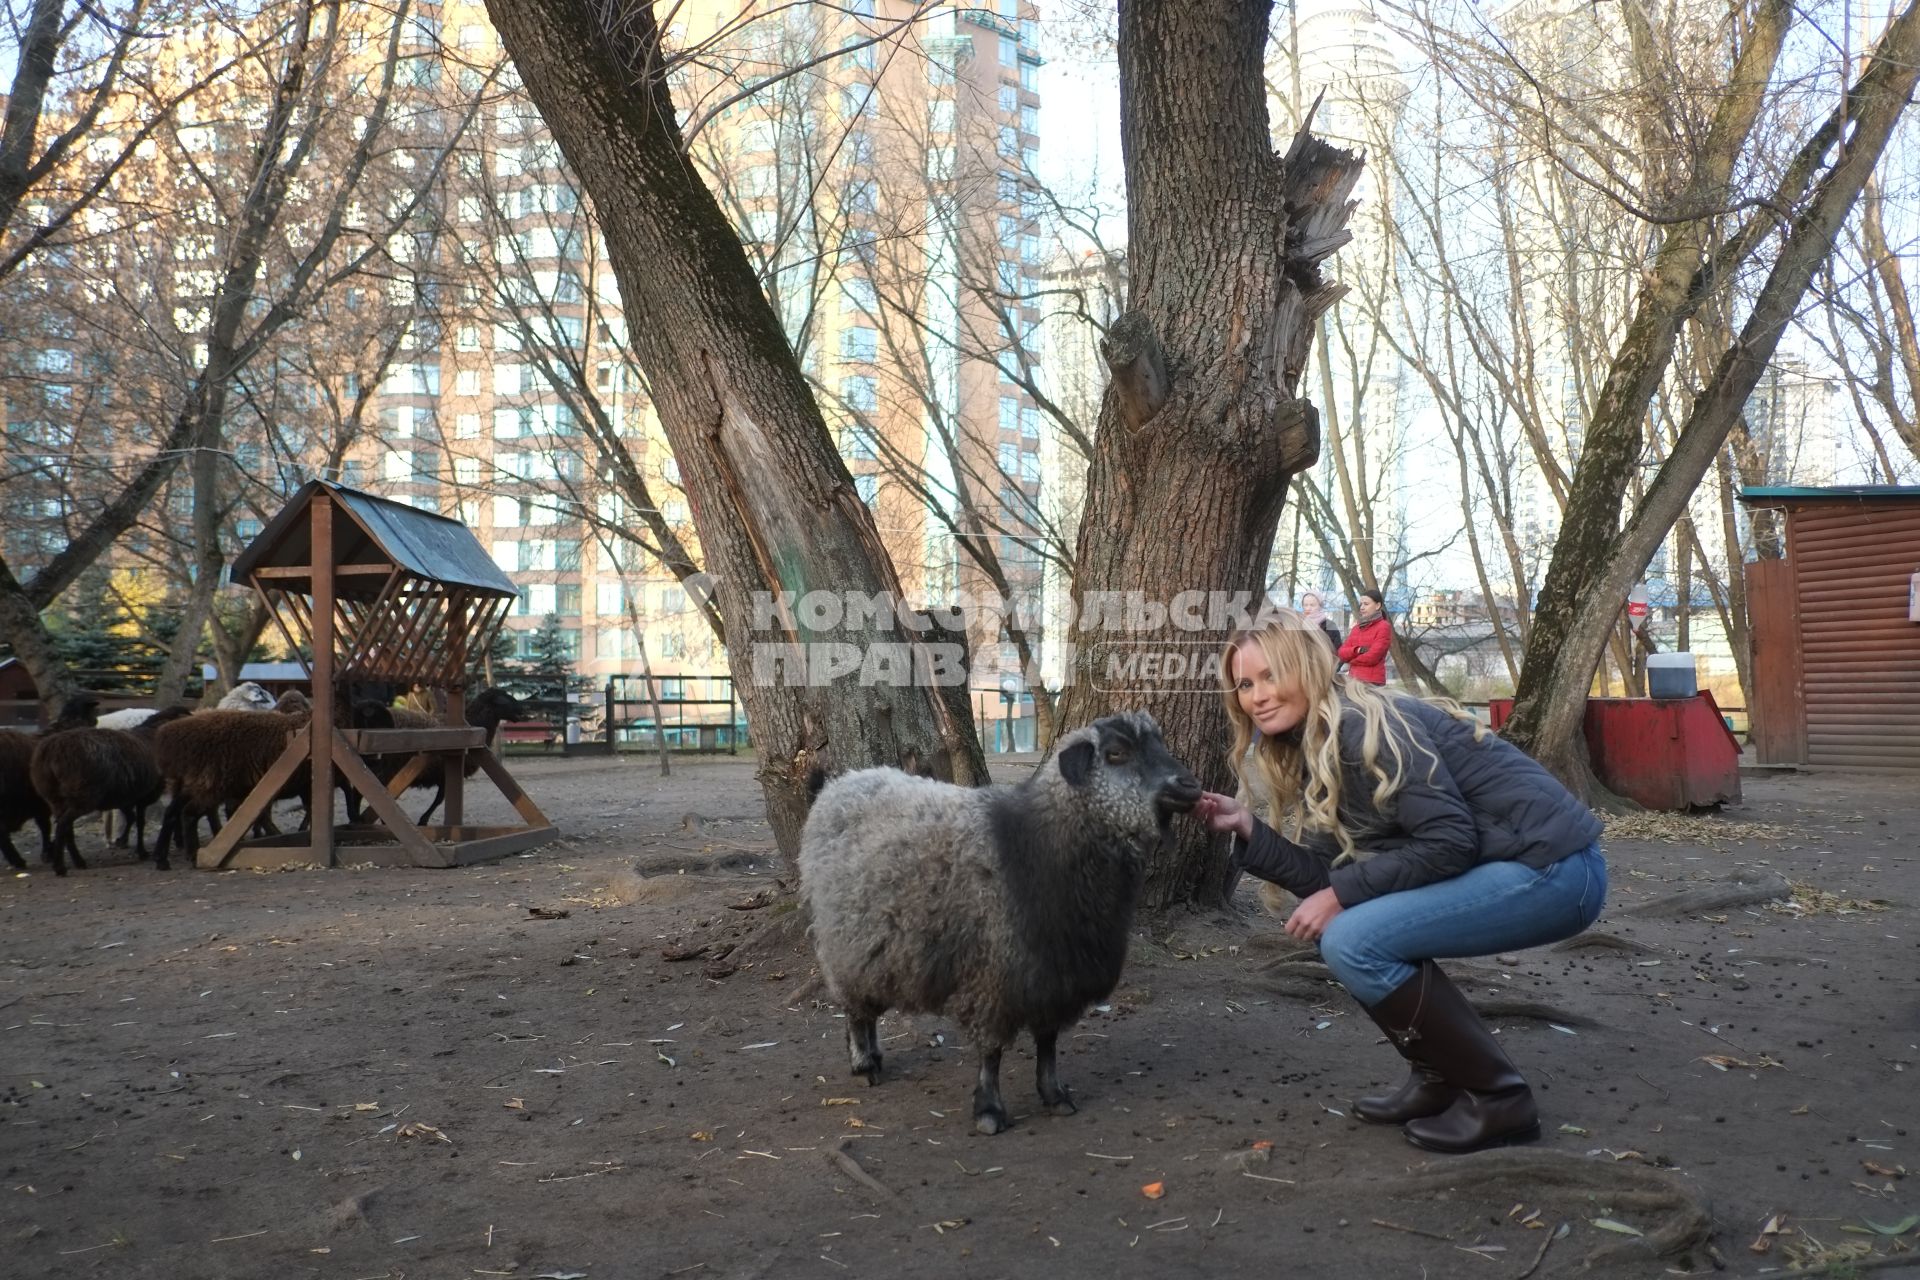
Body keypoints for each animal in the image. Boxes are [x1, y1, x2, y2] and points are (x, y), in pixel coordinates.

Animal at [798, 717, 1198, 1136]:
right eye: (1116, 753)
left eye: (1159, 742)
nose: (1191, 786)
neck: (1045, 841)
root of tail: (837, 785)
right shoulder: (993, 974)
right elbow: (991, 1052)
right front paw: (989, 1110)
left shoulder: (1053, 976)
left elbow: (1048, 1043)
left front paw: (1054, 1095)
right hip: (844, 940)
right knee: (855, 1009)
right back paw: (864, 1063)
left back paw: (873, 1055)